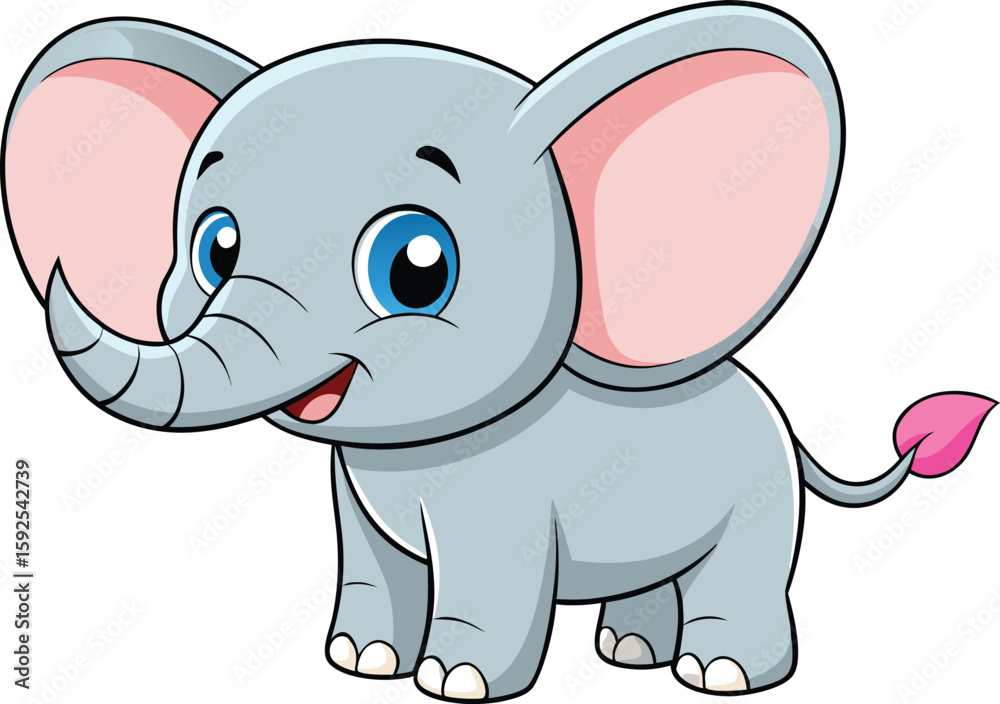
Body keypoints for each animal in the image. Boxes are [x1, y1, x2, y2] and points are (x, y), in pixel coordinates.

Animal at [3, 3, 995, 699]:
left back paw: (720, 676)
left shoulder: (502, 500)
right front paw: (358, 662)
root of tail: (782, 420)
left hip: (759, 499)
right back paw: (630, 652)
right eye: (215, 248)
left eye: (415, 268)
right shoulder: (354, 493)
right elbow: (376, 562)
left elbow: (488, 572)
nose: (56, 275)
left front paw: (456, 684)